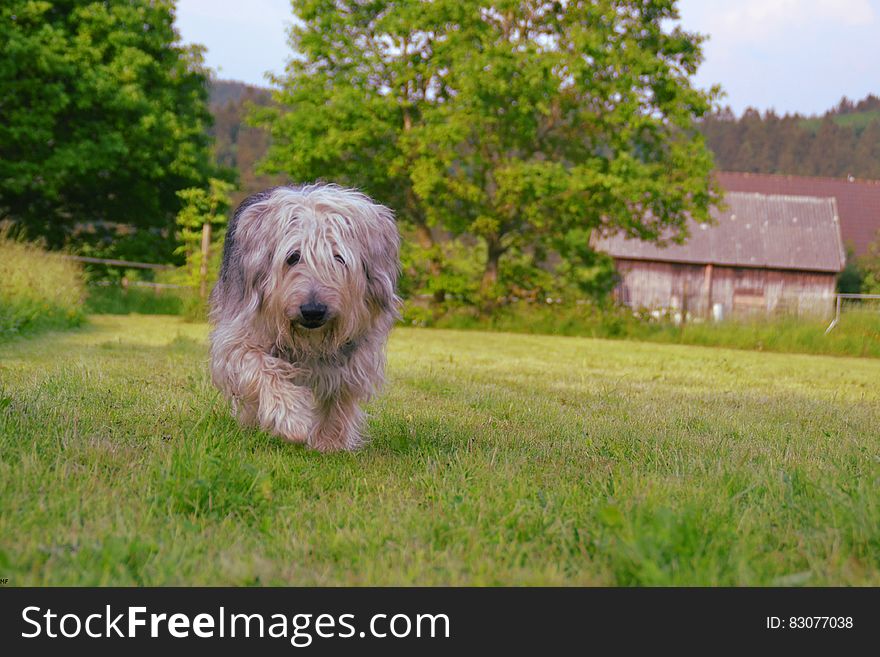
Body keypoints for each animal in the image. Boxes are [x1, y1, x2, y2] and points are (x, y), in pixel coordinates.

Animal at [208, 184, 400, 452]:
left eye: (338, 258)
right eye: (293, 257)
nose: (313, 310)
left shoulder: (356, 354)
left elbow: (338, 392)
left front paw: (330, 443)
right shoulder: (238, 338)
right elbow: (262, 369)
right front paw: (292, 419)